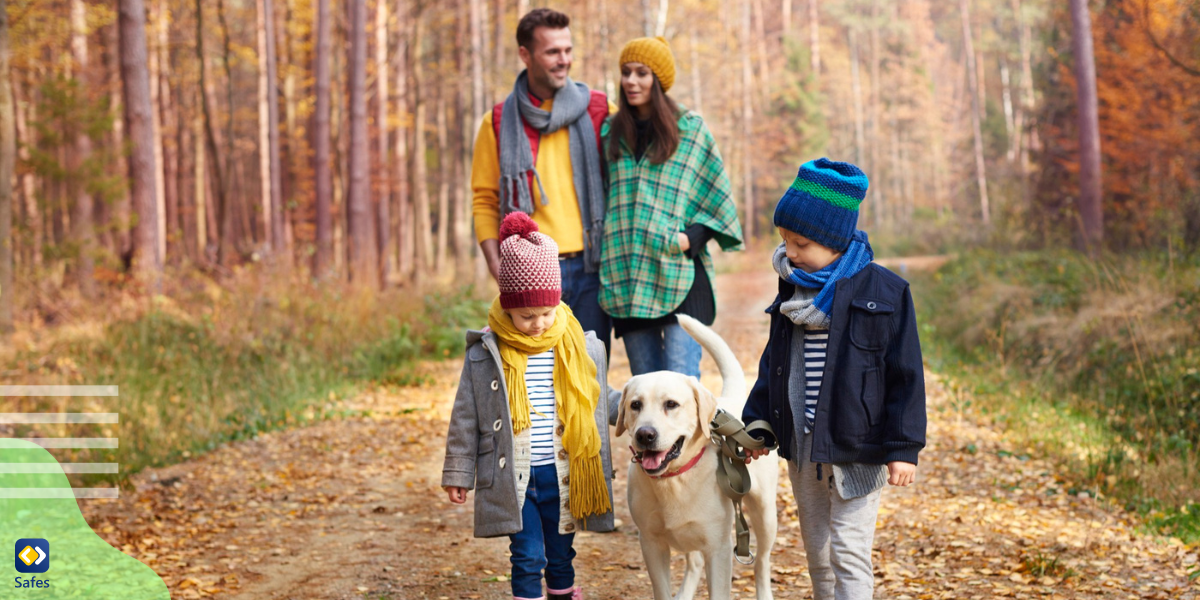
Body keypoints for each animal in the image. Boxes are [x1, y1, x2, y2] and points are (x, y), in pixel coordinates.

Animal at [619, 314, 777, 600]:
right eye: (635, 405)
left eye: (671, 404)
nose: (645, 435)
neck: (674, 479)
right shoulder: (651, 544)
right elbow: (663, 590)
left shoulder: (719, 548)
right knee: (694, 562)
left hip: (765, 514)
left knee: (761, 561)